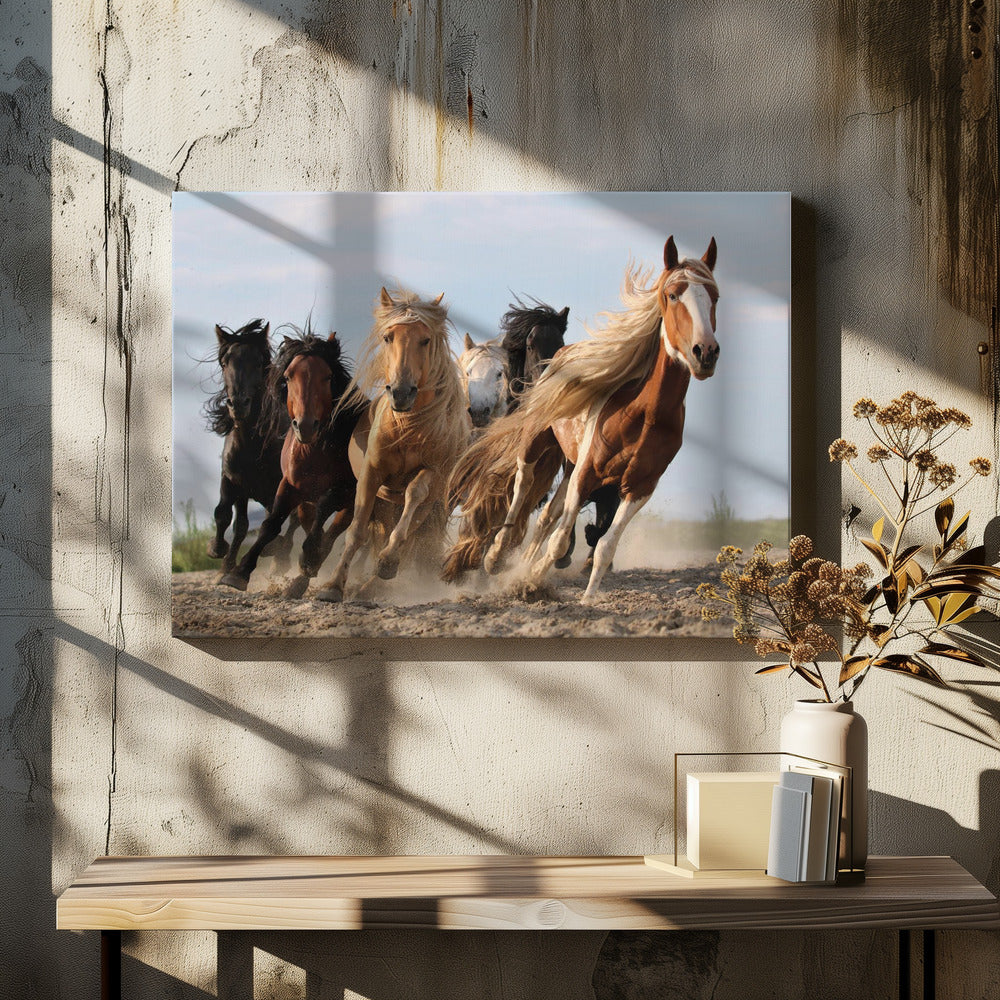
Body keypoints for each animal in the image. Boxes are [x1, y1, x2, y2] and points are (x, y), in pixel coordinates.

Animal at [204, 319, 298, 576]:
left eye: (258, 362)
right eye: (225, 362)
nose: (238, 404)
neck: (252, 445)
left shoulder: (277, 487)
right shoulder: (234, 481)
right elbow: (227, 517)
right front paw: (220, 555)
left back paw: (280, 559)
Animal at [219, 327, 361, 598]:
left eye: (328, 376)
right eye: (288, 376)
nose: (305, 426)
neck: (315, 450)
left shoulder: (344, 489)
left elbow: (324, 510)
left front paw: (309, 558)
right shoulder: (288, 485)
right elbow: (270, 524)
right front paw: (238, 573)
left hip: (351, 504)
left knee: (332, 534)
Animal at [314, 288, 472, 603]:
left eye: (425, 340)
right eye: (388, 337)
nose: (400, 392)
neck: (407, 427)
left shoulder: (432, 474)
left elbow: (413, 496)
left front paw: (387, 561)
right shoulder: (371, 475)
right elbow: (357, 531)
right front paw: (332, 586)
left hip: (430, 505)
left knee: (409, 535)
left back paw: (374, 582)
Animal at [443, 236, 720, 603]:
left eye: (714, 296)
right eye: (673, 294)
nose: (705, 352)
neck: (645, 413)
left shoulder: (639, 487)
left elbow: (603, 545)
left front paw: (585, 598)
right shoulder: (586, 471)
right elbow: (559, 539)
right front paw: (527, 579)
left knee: (547, 516)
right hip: (537, 441)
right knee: (522, 484)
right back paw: (496, 555)